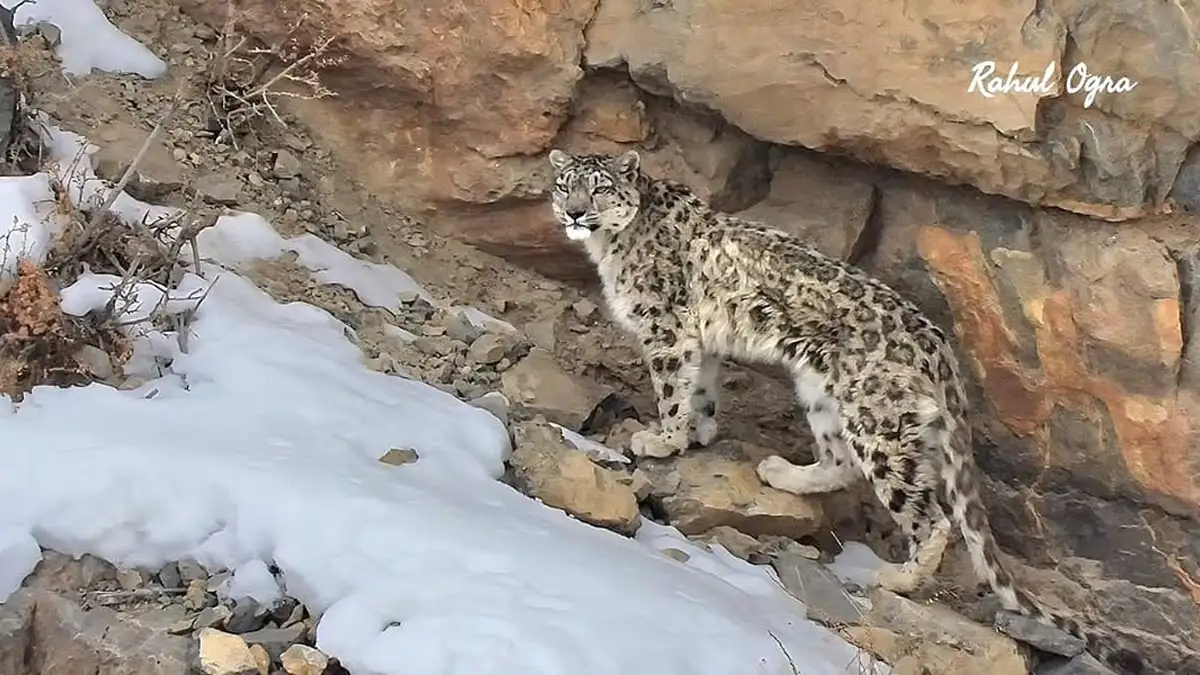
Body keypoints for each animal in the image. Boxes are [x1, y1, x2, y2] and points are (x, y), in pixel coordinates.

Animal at [546, 147, 1141, 674]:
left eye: (599, 187)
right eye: (564, 184)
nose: (574, 212)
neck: (611, 246)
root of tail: (940, 349)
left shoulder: (666, 330)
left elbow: (672, 387)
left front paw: (662, 438)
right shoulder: (700, 342)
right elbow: (702, 388)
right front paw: (698, 430)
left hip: (877, 425)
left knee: (931, 516)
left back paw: (896, 579)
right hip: (821, 393)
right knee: (841, 461)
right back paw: (783, 472)